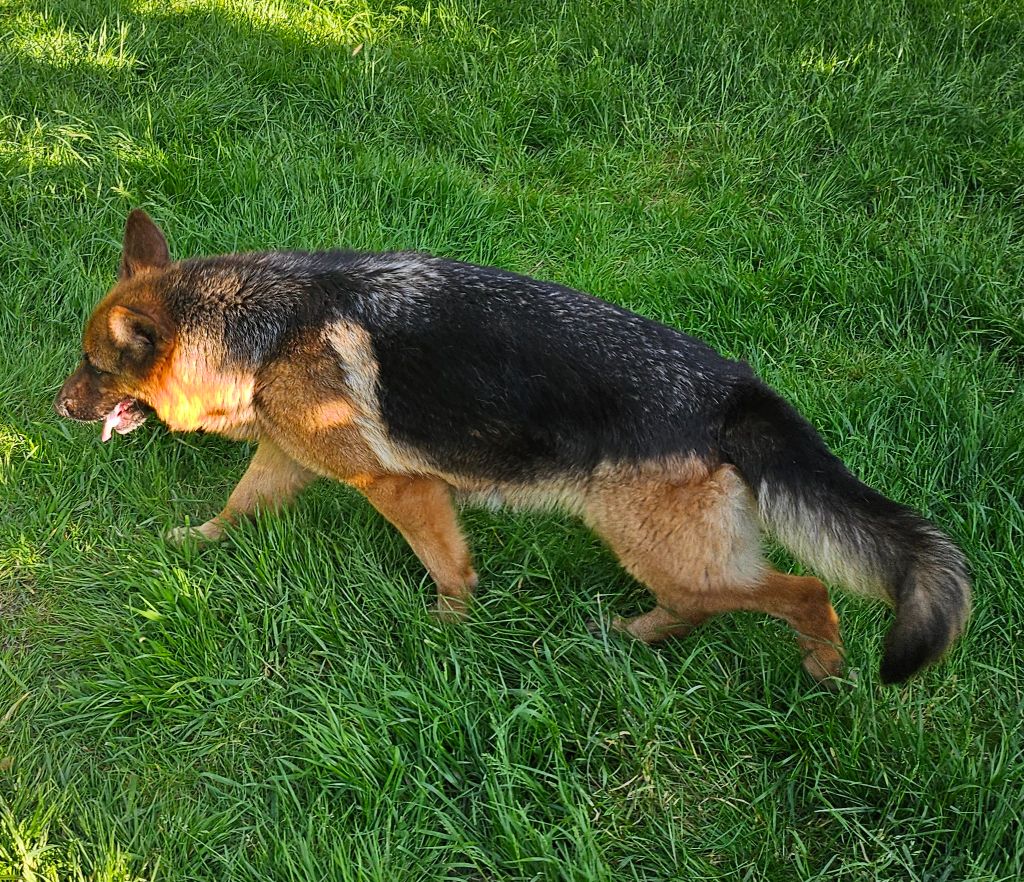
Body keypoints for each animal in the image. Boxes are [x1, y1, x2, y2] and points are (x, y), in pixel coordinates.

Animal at [55, 209, 971, 684]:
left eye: (93, 366)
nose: (57, 405)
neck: (266, 327)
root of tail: (732, 392)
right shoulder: (289, 453)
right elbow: (239, 504)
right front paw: (198, 540)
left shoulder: (402, 490)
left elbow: (447, 567)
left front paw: (447, 629)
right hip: (660, 551)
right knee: (706, 605)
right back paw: (632, 636)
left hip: (661, 548)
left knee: (804, 591)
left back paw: (822, 666)